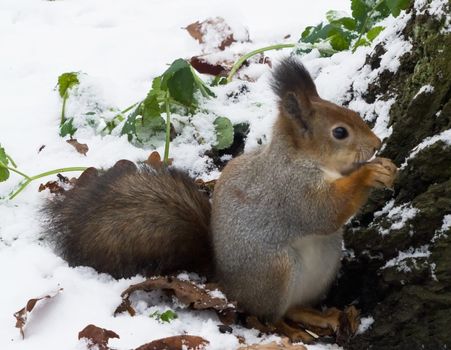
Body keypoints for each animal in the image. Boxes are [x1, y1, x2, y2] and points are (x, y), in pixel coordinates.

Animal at [44, 57, 398, 342]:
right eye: (340, 132)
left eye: (352, 112)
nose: (377, 143)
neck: (304, 160)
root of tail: (227, 284)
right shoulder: (289, 190)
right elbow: (324, 212)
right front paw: (369, 174)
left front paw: (385, 168)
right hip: (275, 270)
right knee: (266, 314)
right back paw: (293, 329)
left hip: (326, 261)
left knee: (293, 306)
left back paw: (318, 315)